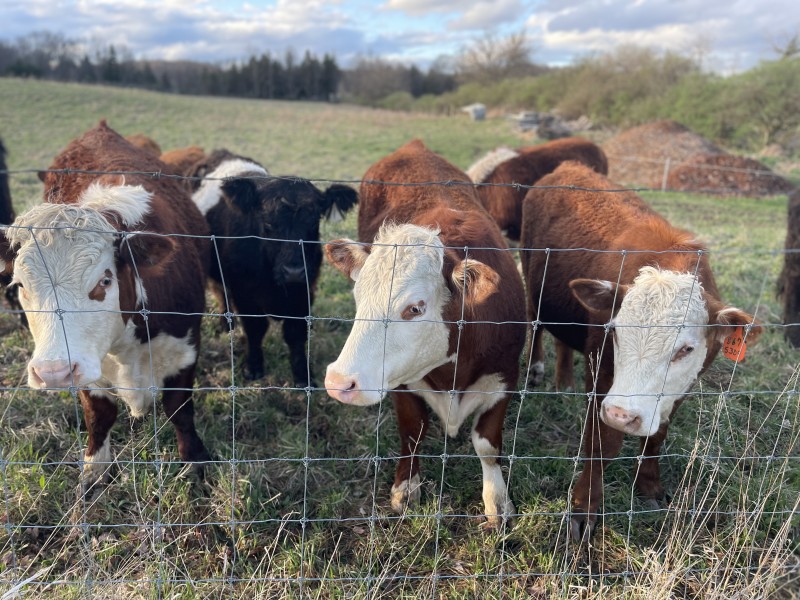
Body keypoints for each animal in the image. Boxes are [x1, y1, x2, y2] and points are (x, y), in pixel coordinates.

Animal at [0, 121, 211, 490]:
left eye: (105, 281)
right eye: (21, 285)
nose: (53, 372)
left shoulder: (185, 345)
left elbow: (180, 408)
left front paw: (195, 462)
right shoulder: (86, 366)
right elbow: (99, 415)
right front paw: (95, 469)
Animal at [187, 149, 358, 386]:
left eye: (314, 221)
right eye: (267, 223)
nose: (293, 272)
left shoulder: (304, 291)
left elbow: (295, 334)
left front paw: (302, 376)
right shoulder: (245, 294)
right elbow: (255, 330)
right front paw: (253, 367)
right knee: (220, 293)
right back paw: (226, 324)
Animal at [324, 139, 527, 528]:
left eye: (415, 308)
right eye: (358, 297)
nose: (338, 382)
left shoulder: (505, 376)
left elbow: (487, 444)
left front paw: (496, 502)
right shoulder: (401, 383)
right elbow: (412, 431)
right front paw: (406, 488)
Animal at [519, 161, 761, 541]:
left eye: (686, 349)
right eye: (616, 333)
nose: (623, 414)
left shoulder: (680, 387)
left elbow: (658, 435)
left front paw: (648, 487)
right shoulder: (601, 373)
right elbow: (602, 442)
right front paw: (585, 507)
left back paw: (563, 381)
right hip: (534, 287)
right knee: (537, 324)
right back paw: (535, 370)